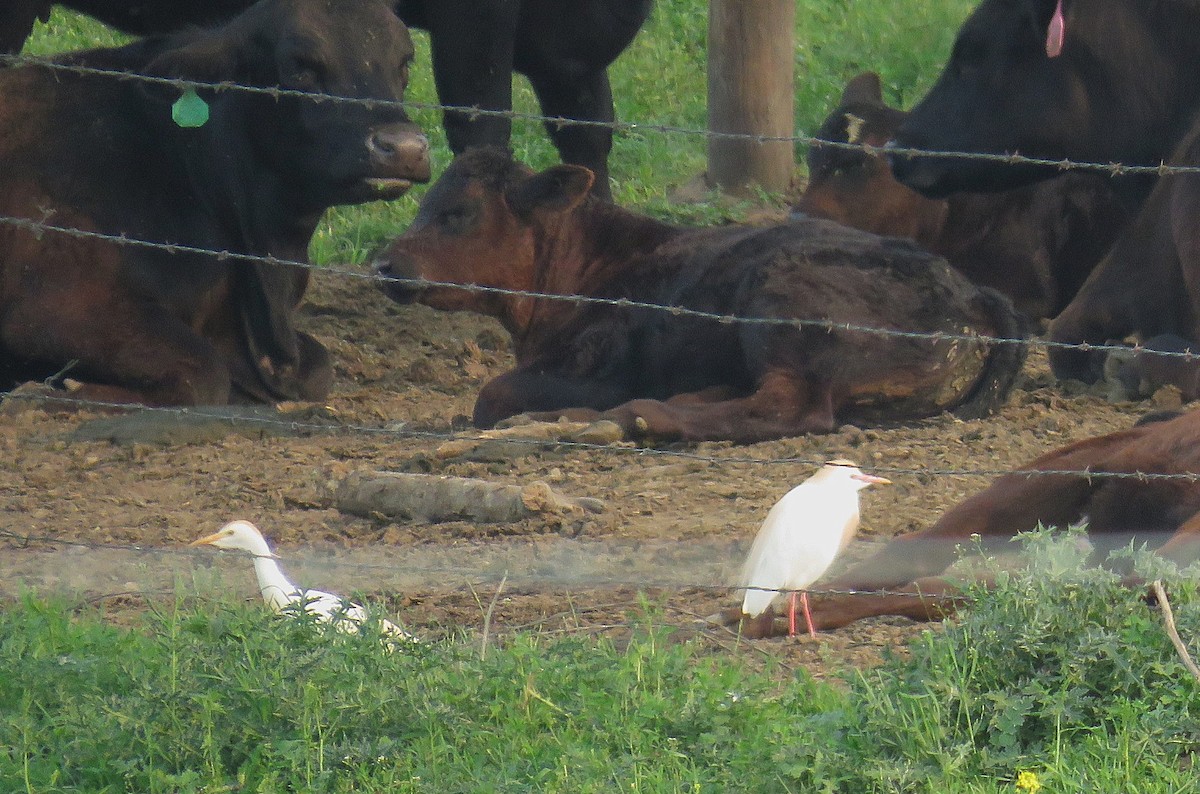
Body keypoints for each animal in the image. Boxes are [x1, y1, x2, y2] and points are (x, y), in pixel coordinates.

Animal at [0, 0, 431, 405]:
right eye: (299, 66)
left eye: (404, 62)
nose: (405, 147)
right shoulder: (57, 303)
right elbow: (204, 376)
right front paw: (50, 390)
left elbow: (318, 366)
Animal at [372, 148, 1029, 444]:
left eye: (458, 212)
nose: (383, 263)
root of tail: (975, 293)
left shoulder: (600, 368)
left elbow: (491, 394)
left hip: (781, 304)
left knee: (793, 407)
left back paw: (647, 414)